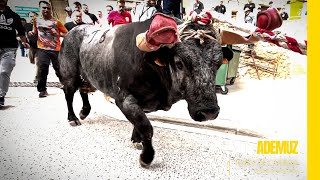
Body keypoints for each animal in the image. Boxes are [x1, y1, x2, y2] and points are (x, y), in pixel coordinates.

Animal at [58, 18, 228, 167]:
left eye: (218, 64)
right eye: (179, 63)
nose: (208, 112)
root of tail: (75, 29)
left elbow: (139, 123)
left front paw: (136, 139)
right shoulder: (124, 99)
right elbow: (146, 127)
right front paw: (146, 157)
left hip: (86, 76)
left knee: (83, 91)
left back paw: (84, 111)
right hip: (70, 74)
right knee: (68, 95)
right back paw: (73, 118)